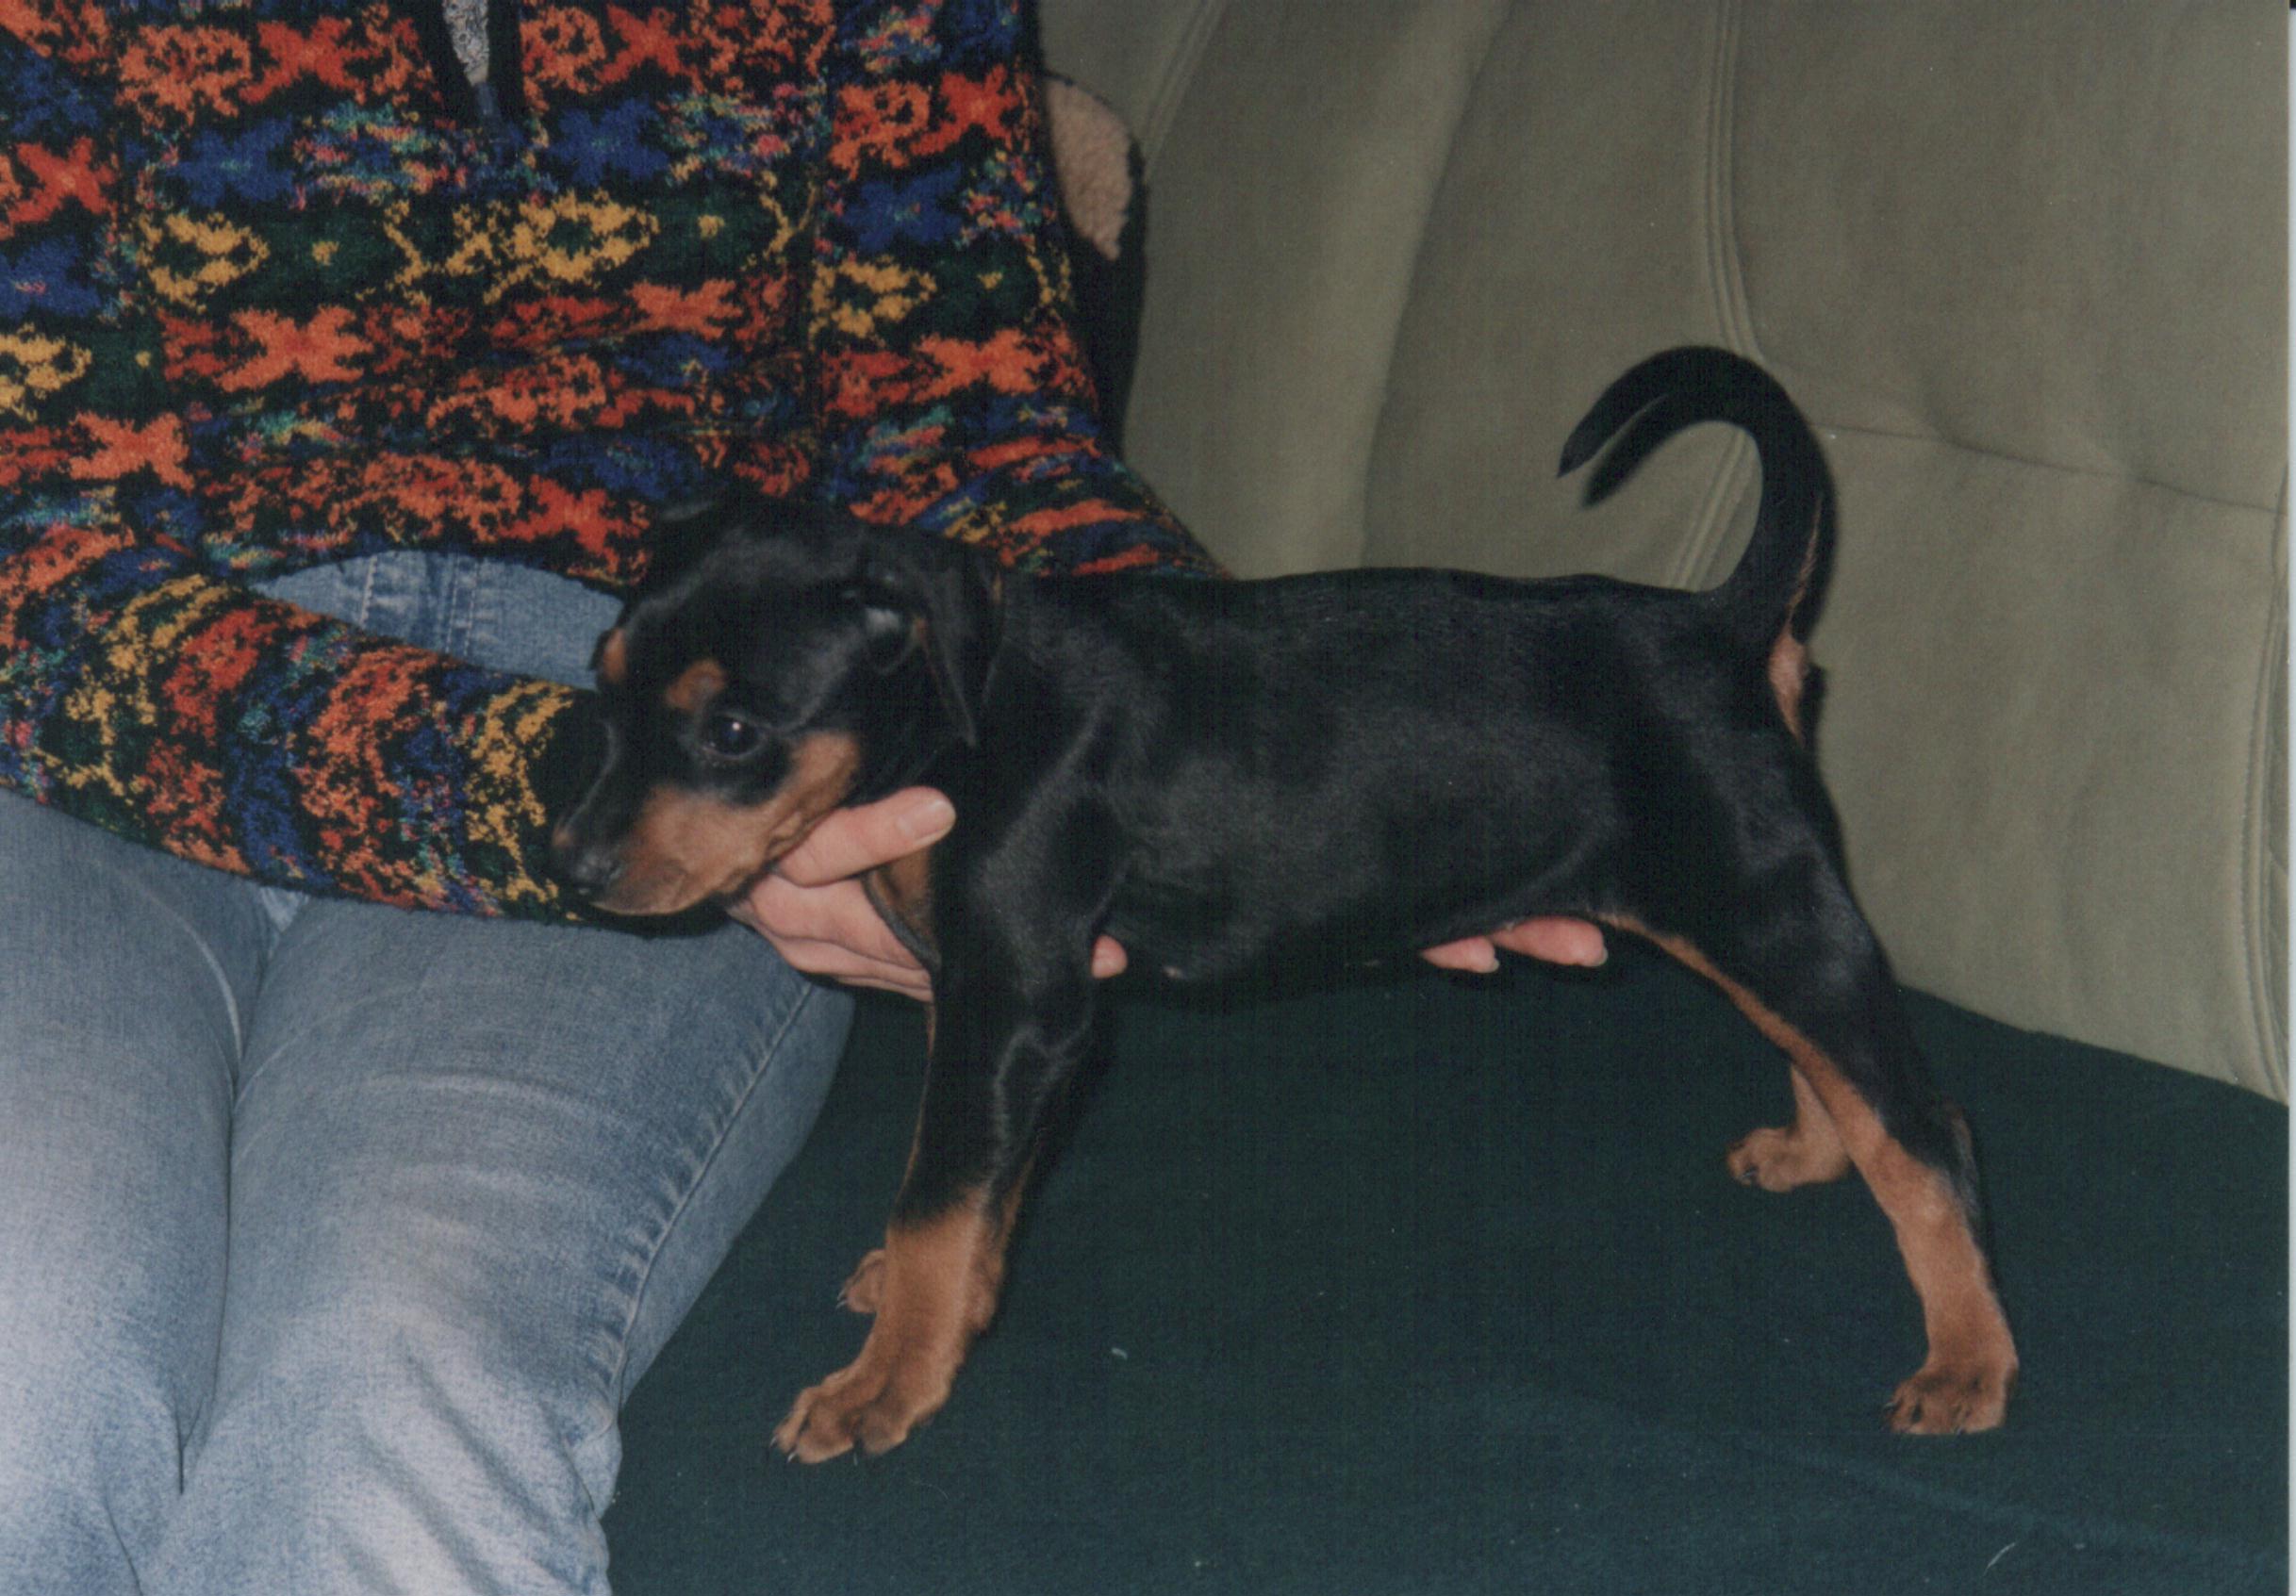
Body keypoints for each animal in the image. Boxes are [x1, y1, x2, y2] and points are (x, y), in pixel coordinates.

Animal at [550, 346, 2018, 1463]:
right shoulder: (994, 1005)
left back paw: (1965, 1361)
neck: (960, 717)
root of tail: (1716, 622)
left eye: (734, 730)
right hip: (1740, 902)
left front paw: (882, 1384)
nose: (571, 869)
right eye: (601, 684)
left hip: (1756, 894)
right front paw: (945, 1310)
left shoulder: (1017, 1000)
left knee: (1926, 1126)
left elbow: (940, 1192)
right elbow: (972, 1183)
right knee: (1835, 1069)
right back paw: (1813, 1154)